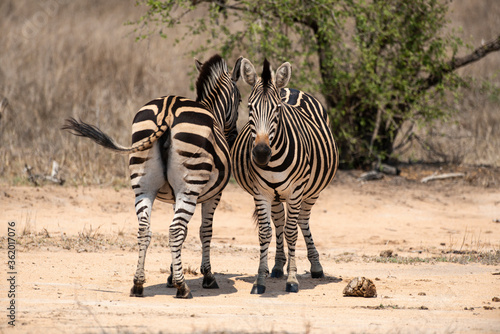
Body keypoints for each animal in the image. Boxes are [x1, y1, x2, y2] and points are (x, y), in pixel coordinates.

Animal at [62, 55, 242, 300]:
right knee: (174, 230)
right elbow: (204, 231)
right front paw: (206, 276)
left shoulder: (175, 195)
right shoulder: (213, 195)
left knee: (144, 229)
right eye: (240, 100)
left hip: (144, 184)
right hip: (189, 186)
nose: (232, 138)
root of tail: (168, 110)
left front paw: (171, 275)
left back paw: (138, 284)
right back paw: (183, 288)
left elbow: (186, 232)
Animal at [232, 58, 338, 294]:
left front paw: (292, 279)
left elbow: (291, 232)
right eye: (250, 107)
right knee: (279, 221)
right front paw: (259, 281)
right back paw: (278, 265)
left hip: (311, 191)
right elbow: (265, 232)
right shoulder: (261, 192)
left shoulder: (296, 190)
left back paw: (315, 266)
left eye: (277, 109)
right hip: (276, 195)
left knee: (302, 221)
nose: (261, 153)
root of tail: (289, 89)